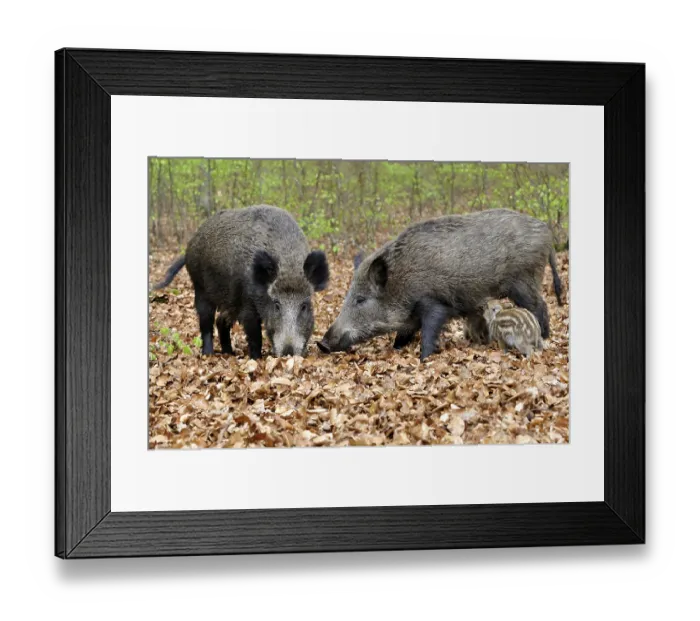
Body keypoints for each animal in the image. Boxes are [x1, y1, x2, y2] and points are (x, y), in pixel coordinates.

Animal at [152, 205, 329, 359]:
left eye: (304, 305)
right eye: (277, 305)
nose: (288, 352)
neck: (289, 265)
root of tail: (189, 247)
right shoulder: (247, 304)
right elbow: (255, 336)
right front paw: (256, 358)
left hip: (229, 301)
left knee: (221, 321)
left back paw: (229, 353)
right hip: (200, 287)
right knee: (206, 321)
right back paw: (208, 354)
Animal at [319, 209, 562, 361]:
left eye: (361, 299)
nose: (322, 344)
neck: (402, 282)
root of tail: (547, 232)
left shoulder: (434, 302)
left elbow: (429, 332)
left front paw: (424, 358)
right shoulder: (411, 316)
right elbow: (401, 336)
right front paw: (396, 349)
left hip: (524, 282)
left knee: (541, 306)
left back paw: (545, 337)